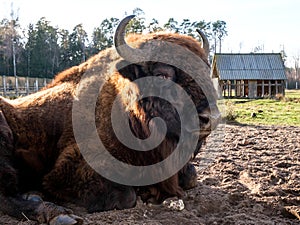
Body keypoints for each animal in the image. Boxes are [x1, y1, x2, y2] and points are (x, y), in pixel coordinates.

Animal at [0, 14, 220, 224]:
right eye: (162, 75)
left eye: (205, 72)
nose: (210, 118)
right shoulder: (68, 170)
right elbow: (127, 196)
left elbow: (191, 176)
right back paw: (55, 213)